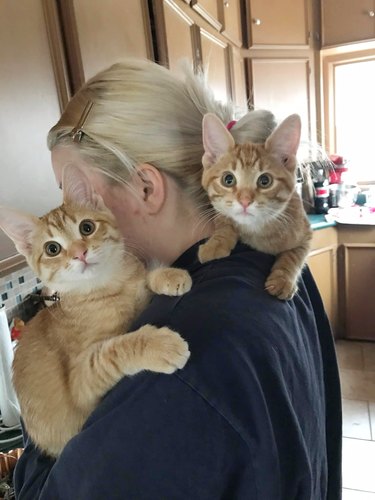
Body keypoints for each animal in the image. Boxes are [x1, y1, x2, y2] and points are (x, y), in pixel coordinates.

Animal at [0, 165, 191, 458]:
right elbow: (114, 349)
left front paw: (168, 275)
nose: (80, 253)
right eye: (52, 249)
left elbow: (145, 276)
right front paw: (160, 345)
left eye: (86, 227)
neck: (108, 286)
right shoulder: (80, 381)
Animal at [201, 114, 312, 300]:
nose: (245, 201)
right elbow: (224, 222)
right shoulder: (219, 210)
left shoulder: (306, 235)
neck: (256, 230)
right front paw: (216, 243)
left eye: (265, 181)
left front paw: (283, 279)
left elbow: (294, 255)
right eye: (228, 179)